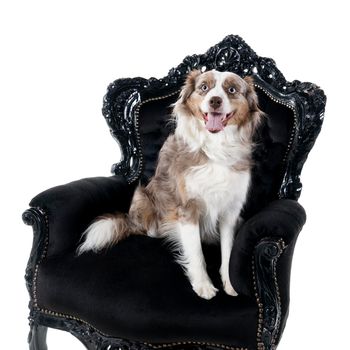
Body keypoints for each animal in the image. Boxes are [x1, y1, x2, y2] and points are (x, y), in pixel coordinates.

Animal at [77, 69, 262, 300]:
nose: (215, 101)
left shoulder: (230, 210)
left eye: (232, 89)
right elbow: (196, 252)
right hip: (143, 197)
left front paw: (229, 283)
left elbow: (228, 250)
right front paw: (203, 285)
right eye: (204, 87)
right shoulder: (187, 208)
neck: (215, 147)